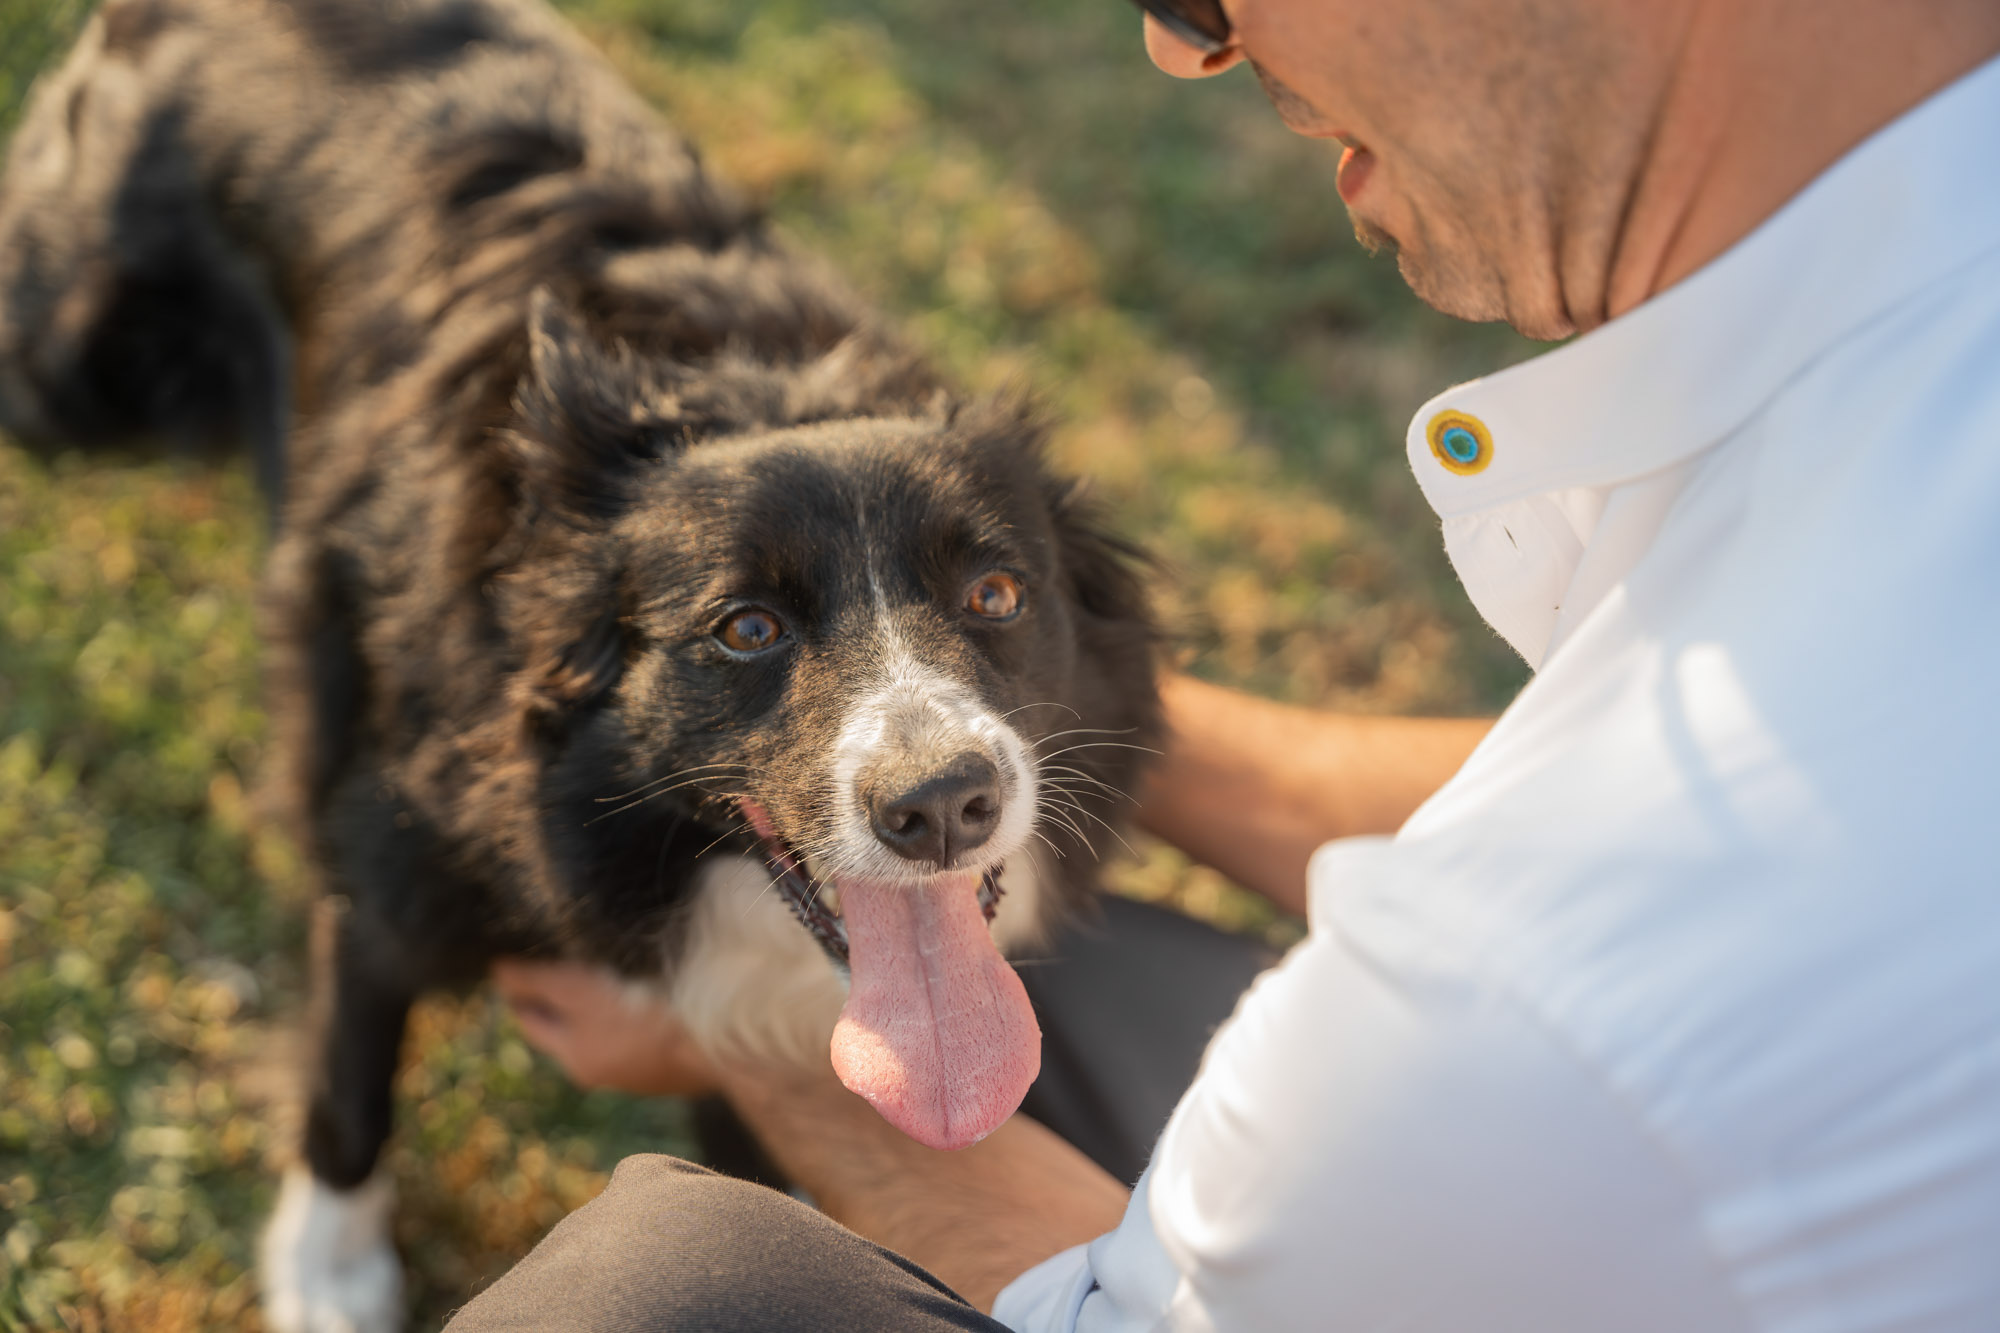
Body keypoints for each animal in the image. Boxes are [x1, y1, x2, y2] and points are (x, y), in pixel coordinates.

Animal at [0, 2, 1160, 1328]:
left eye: (996, 594)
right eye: (744, 628)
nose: (942, 804)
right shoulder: (386, 844)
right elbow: (351, 1064)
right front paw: (330, 1270)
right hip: (64, 360)